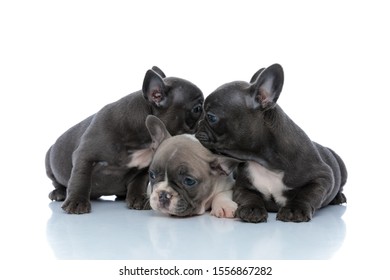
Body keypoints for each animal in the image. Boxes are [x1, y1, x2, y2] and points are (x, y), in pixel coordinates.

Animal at [45, 66, 204, 214]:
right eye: (197, 109)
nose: (207, 116)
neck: (142, 141)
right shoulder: (85, 156)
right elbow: (80, 177)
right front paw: (76, 202)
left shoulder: (144, 169)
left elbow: (139, 182)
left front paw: (139, 198)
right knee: (57, 182)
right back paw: (59, 193)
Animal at [197, 63, 348, 223]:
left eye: (211, 117)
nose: (199, 123)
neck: (264, 162)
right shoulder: (242, 186)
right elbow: (249, 195)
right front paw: (252, 209)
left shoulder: (323, 177)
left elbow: (307, 194)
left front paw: (295, 209)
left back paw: (338, 197)